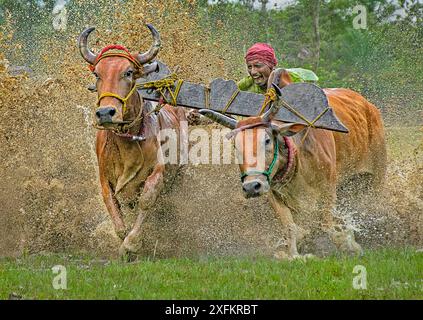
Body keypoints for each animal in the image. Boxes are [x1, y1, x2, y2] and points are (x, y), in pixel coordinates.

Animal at [79, 23, 186, 256]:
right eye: (97, 74)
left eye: (128, 72)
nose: (105, 113)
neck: (126, 143)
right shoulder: (104, 178)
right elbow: (114, 211)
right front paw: (124, 240)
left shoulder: (158, 172)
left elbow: (146, 200)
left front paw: (132, 244)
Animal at [200, 74, 390, 258]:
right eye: (236, 146)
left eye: (267, 140)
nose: (251, 187)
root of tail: (369, 106)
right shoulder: (273, 194)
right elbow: (290, 227)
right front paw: (294, 254)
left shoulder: (328, 188)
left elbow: (325, 225)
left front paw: (348, 244)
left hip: (377, 176)